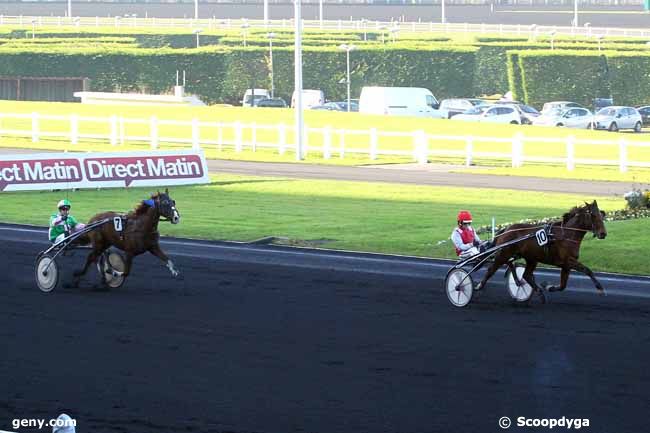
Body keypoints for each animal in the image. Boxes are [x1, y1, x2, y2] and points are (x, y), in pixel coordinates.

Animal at [474, 201, 604, 298]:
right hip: (503, 254)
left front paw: (548, 287)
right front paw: (600, 287)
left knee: (525, 274)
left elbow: (563, 285)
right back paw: (478, 286)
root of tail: (506, 230)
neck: (566, 234)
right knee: (491, 269)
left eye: (602, 215)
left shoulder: (566, 264)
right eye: (593, 215)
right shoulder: (567, 261)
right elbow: (587, 270)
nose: (603, 234)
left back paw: (536, 290)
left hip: (530, 258)